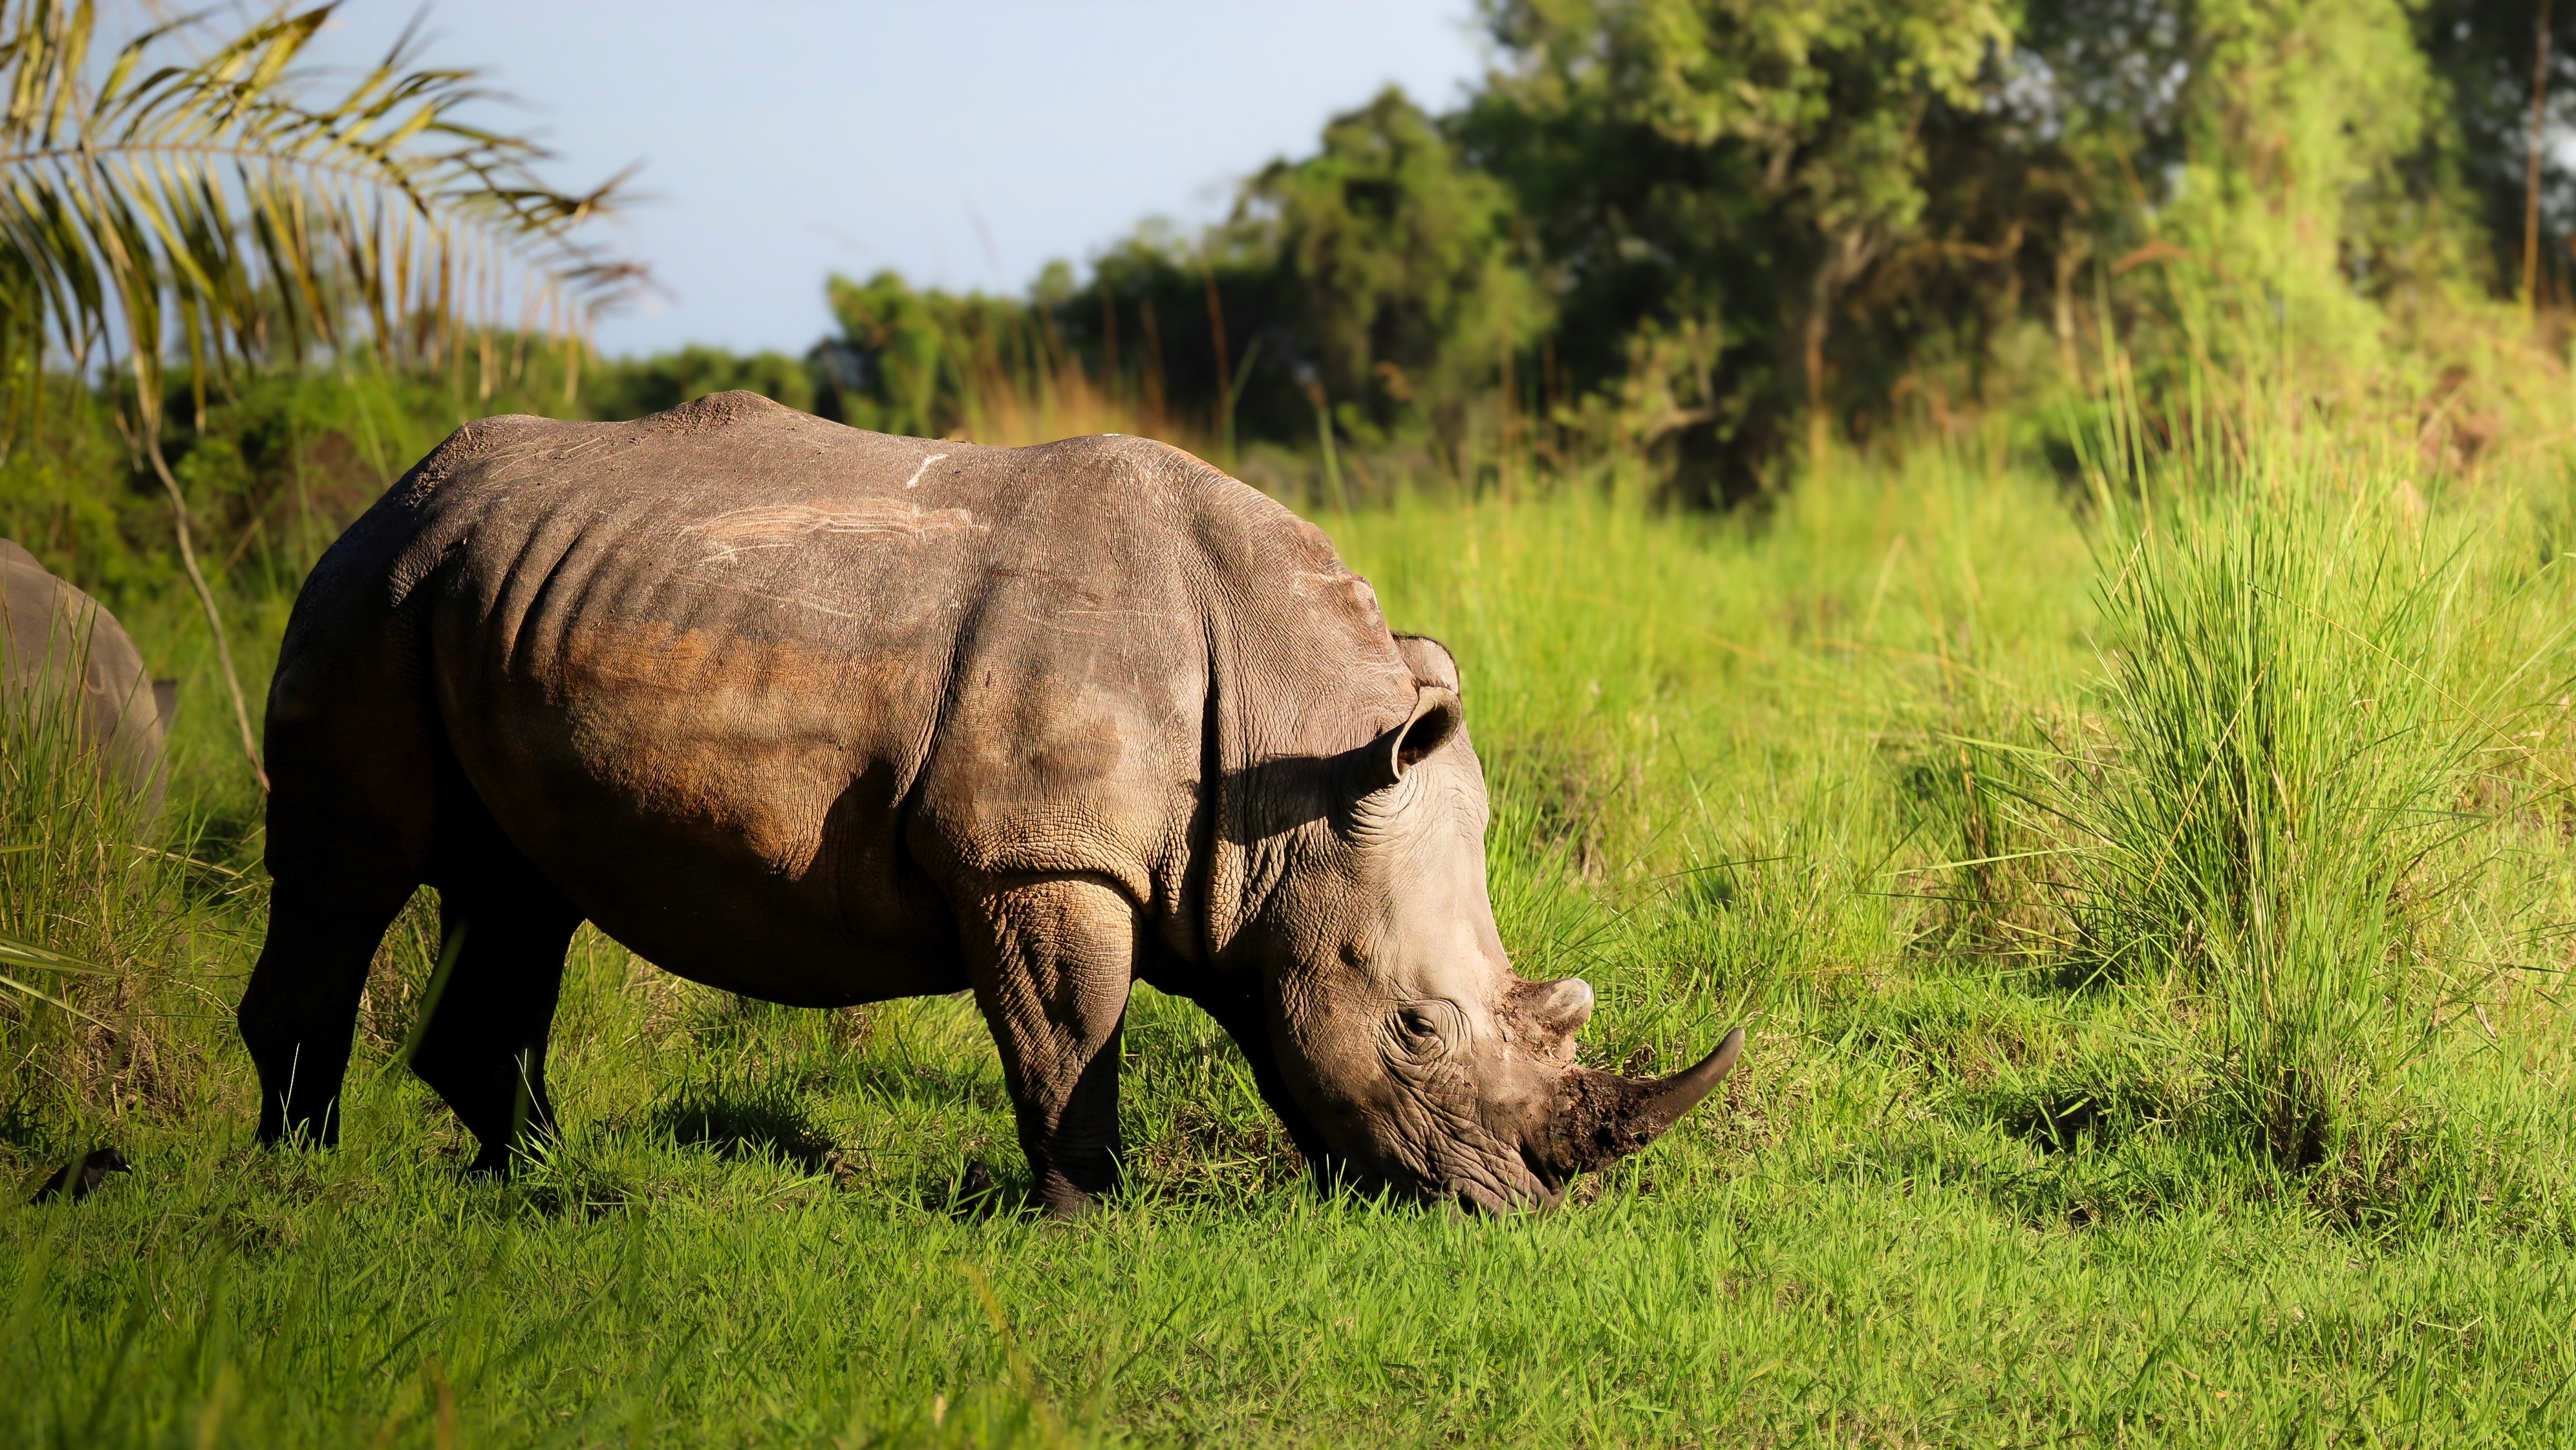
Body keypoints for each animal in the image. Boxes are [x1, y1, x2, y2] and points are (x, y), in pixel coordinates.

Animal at [237, 392, 1742, 1213]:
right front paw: (1089, 1222)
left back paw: (543, 1182)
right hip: (376, 589)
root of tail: (392, 489)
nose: (1518, 1206)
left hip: (482, 593)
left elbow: (1262, 1034)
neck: (1296, 740)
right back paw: (304, 1183)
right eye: (1420, 1029)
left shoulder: (1241, 869)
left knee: (517, 892)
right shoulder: (1037, 858)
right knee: (353, 870)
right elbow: (1067, 1037)